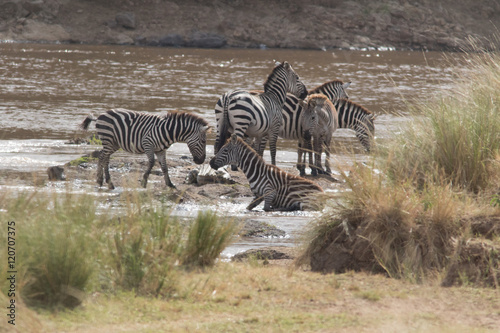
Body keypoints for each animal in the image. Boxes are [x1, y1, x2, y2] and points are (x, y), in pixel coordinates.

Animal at [80, 107, 209, 188]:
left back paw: (103, 181)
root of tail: (101, 115)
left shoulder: (161, 151)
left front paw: (170, 184)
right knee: (103, 157)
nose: (201, 161)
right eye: (203, 141)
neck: (168, 131)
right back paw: (104, 182)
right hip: (108, 139)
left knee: (103, 157)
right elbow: (151, 163)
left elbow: (164, 167)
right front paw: (144, 181)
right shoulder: (148, 145)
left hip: (114, 143)